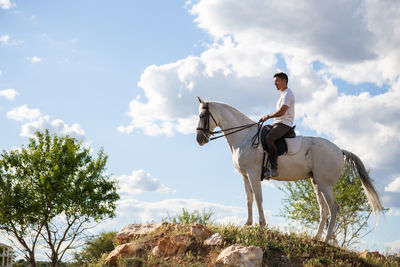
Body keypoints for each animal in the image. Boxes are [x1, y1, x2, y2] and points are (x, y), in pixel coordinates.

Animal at [195, 98, 382, 243]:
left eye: (202, 116)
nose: (199, 139)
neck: (245, 137)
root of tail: (340, 150)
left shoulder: (253, 174)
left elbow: (258, 199)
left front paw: (262, 225)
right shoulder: (245, 176)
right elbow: (249, 199)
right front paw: (247, 224)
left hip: (325, 184)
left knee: (333, 208)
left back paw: (327, 239)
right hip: (317, 183)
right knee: (324, 209)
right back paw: (316, 237)